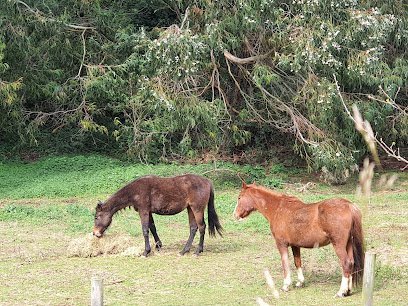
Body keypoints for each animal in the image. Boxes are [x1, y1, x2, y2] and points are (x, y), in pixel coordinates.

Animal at [93, 175, 223, 256]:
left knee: (201, 227)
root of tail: (207, 182)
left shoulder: (144, 211)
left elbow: (145, 230)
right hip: (190, 209)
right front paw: (158, 246)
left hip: (197, 209)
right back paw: (184, 251)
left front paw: (146, 251)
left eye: (96, 217)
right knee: (193, 228)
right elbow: (152, 227)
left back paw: (198, 251)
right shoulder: (149, 212)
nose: (95, 233)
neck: (135, 191)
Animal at [234, 182, 364, 296]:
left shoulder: (281, 244)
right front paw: (300, 282)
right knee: (351, 263)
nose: (235, 215)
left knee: (346, 263)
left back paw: (341, 292)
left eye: (239, 197)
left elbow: (285, 263)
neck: (278, 209)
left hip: (338, 244)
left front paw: (286, 285)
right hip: (349, 243)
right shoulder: (295, 245)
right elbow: (297, 262)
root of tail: (349, 205)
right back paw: (348, 291)